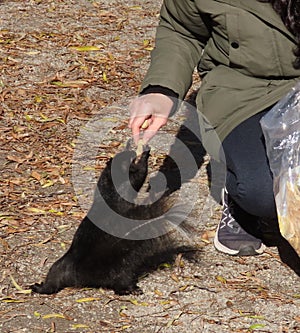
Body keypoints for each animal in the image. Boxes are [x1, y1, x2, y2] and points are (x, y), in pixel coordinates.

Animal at [31, 147, 183, 294]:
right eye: (126, 156)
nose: (133, 150)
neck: (108, 187)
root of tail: (78, 275)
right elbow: (139, 173)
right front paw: (145, 154)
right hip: (122, 268)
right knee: (120, 284)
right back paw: (132, 290)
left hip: (59, 268)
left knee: (53, 279)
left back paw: (38, 286)